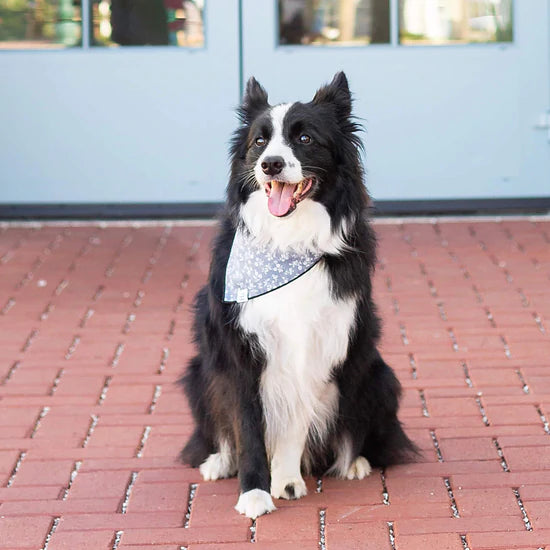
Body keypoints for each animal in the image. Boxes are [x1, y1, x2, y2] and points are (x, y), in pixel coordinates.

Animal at [181, 71, 418, 520]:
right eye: (260, 141)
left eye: (305, 138)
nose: (270, 164)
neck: (287, 243)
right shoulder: (240, 352)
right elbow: (247, 427)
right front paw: (254, 492)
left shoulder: (315, 343)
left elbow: (295, 421)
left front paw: (286, 481)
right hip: (199, 371)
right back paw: (219, 460)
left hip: (377, 374)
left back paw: (353, 460)